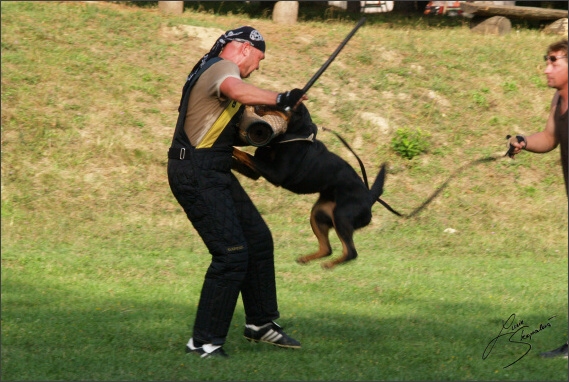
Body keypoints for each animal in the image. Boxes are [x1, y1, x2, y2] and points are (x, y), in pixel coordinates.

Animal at [231, 101, 390, 268]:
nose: (255, 106)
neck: (292, 134)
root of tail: (369, 198)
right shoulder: (255, 172)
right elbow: (243, 158)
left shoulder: (276, 173)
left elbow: (244, 154)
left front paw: (231, 147)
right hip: (318, 215)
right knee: (327, 248)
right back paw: (306, 259)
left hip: (341, 216)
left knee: (351, 252)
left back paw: (329, 265)